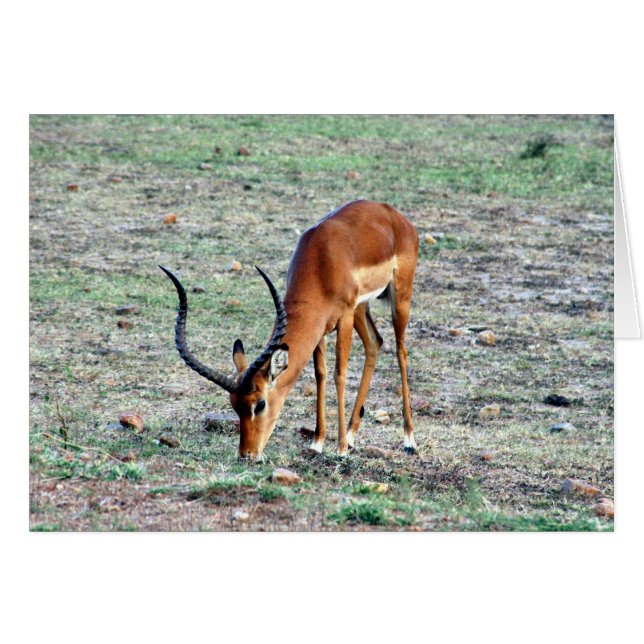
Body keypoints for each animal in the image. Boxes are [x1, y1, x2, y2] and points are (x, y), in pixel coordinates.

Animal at [160, 199, 419, 460]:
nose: (247, 454)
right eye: (233, 403)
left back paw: (408, 440)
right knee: (375, 343)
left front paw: (340, 449)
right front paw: (317, 442)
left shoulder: (343, 317)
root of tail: (393, 214)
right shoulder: (320, 327)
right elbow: (320, 375)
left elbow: (339, 374)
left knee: (401, 351)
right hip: (361, 308)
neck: (322, 260)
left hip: (399, 297)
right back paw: (352, 435)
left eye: (260, 404)